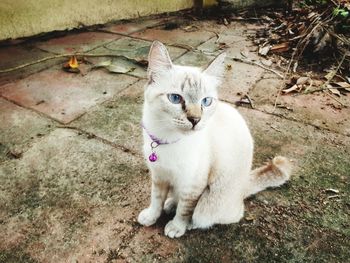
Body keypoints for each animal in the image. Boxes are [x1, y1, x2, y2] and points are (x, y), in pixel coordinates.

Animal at [138, 41, 292, 239]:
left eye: (206, 101)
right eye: (175, 98)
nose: (195, 120)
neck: (167, 139)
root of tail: (243, 187)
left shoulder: (193, 185)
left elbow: (185, 210)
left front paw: (177, 227)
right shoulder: (159, 176)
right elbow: (156, 200)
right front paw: (150, 217)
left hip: (210, 201)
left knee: (210, 216)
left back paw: (188, 223)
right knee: (173, 200)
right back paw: (170, 204)